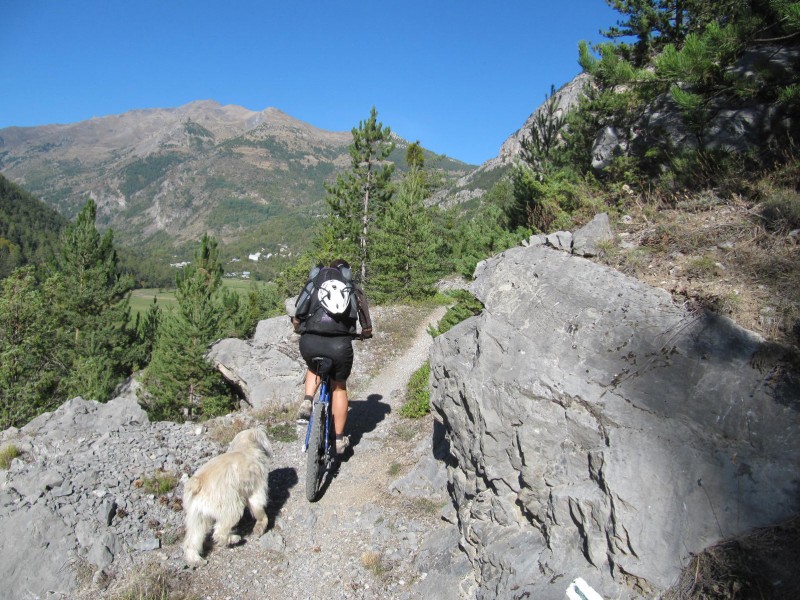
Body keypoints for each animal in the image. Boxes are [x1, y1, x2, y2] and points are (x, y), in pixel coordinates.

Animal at [183, 428, 274, 564]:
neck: (244, 448)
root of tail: (197, 484)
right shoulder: (258, 485)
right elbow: (258, 505)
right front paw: (261, 526)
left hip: (198, 516)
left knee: (193, 538)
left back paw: (196, 560)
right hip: (231, 506)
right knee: (219, 532)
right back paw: (234, 538)